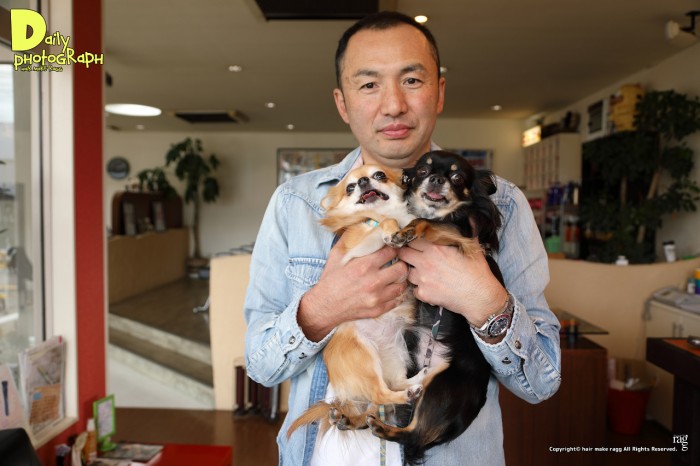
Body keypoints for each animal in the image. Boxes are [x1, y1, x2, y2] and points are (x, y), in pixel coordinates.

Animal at [365, 150, 505, 465]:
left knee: (413, 434)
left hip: (439, 388)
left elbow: (428, 223)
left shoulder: (459, 237)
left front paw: (408, 229)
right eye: (422, 171)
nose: (437, 179)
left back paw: (379, 426)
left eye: (456, 177)